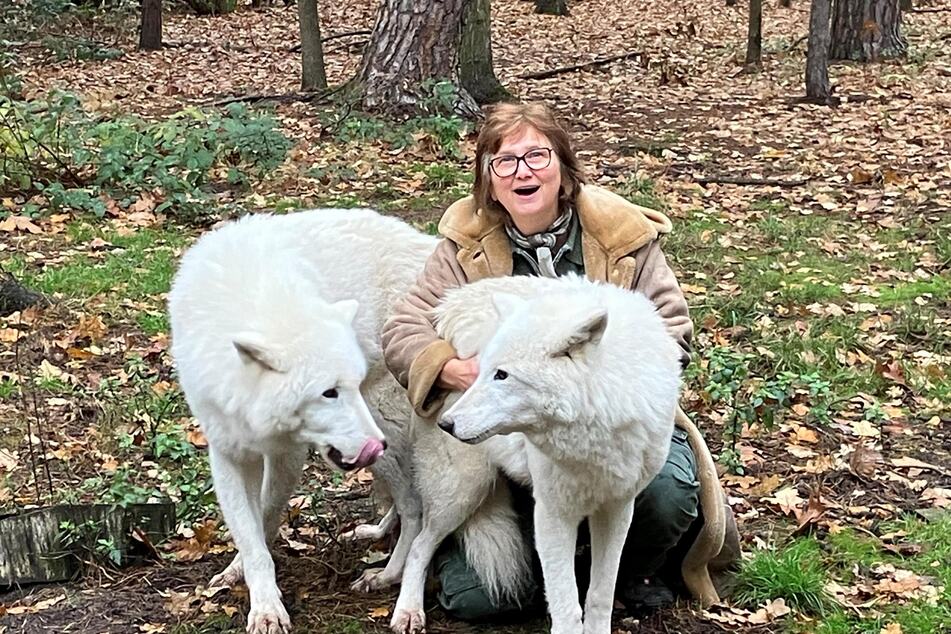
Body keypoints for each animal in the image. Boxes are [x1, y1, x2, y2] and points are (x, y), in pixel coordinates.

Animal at [169, 209, 436, 632]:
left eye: (351, 384)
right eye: (329, 392)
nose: (374, 444)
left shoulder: (287, 456)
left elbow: (264, 516)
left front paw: (264, 606)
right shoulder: (228, 452)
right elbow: (248, 533)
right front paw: (246, 582)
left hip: (384, 424)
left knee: (414, 509)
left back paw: (388, 577)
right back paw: (375, 532)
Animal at [390, 276, 680, 632]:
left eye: (501, 375)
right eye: (481, 370)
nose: (447, 424)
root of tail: (449, 307)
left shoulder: (616, 508)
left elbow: (600, 597)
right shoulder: (553, 514)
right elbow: (567, 608)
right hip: (461, 491)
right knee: (419, 547)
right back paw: (407, 611)